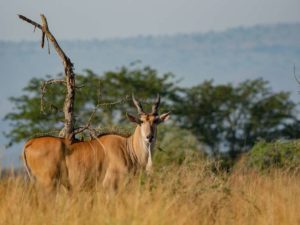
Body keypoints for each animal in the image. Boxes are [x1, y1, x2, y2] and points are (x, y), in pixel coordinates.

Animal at [22, 94, 170, 192]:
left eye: (155, 121)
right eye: (141, 121)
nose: (149, 137)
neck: (128, 148)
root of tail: (29, 143)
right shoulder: (110, 186)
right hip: (48, 183)